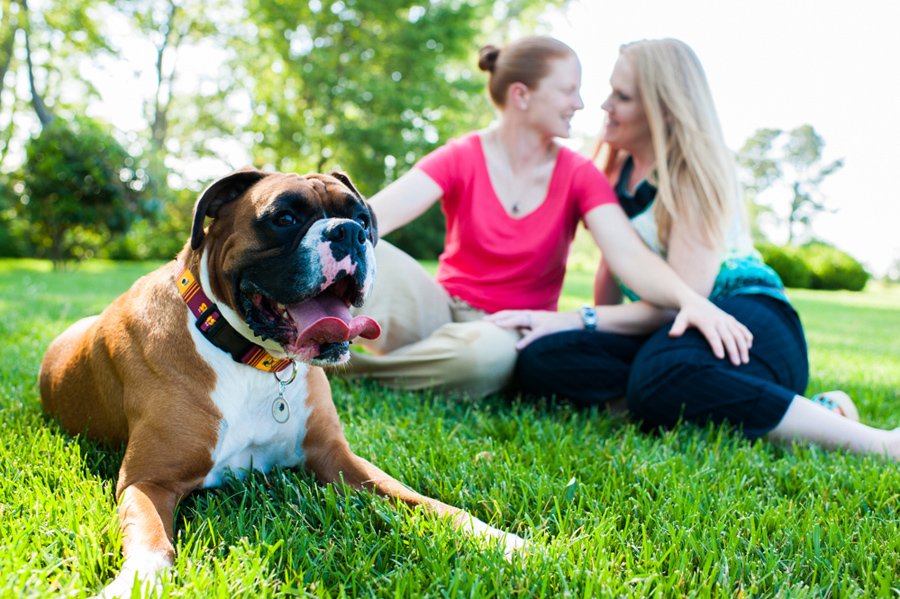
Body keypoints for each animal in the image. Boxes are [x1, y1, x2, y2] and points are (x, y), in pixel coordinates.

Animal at [38, 166, 524, 596]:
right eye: (285, 218)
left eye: (363, 218)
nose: (349, 232)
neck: (255, 362)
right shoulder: (147, 482)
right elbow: (153, 542)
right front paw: (137, 583)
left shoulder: (337, 458)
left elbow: (424, 501)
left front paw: (503, 541)